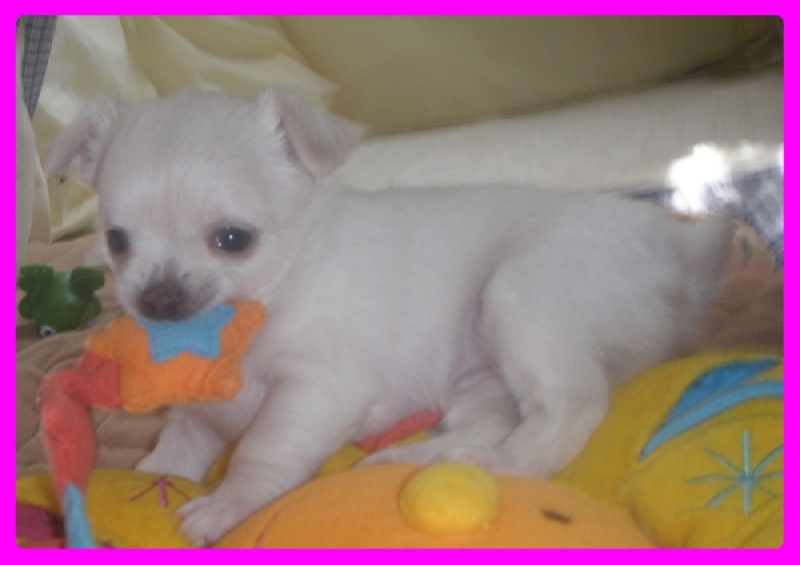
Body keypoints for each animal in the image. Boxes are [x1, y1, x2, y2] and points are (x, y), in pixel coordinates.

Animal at [46, 89, 733, 545]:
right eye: (116, 240)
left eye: (234, 240)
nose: (158, 299)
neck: (267, 304)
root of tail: (673, 244)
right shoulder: (198, 419)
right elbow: (171, 456)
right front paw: (149, 483)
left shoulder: (316, 391)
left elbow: (262, 451)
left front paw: (224, 507)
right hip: (478, 375)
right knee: (491, 419)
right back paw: (419, 460)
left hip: (521, 294)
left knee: (572, 408)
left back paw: (500, 467)